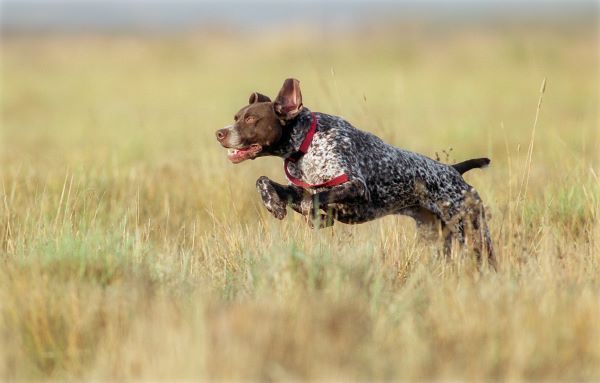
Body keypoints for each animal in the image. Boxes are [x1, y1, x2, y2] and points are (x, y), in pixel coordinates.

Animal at [218, 78, 494, 268]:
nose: (219, 133)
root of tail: (453, 171)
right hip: (435, 237)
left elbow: (314, 200)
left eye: (251, 119)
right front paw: (273, 204)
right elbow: (264, 181)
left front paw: (317, 217)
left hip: (473, 234)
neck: (305, 144)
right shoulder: (298, 189)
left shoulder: (356, 186)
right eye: (236, 117)